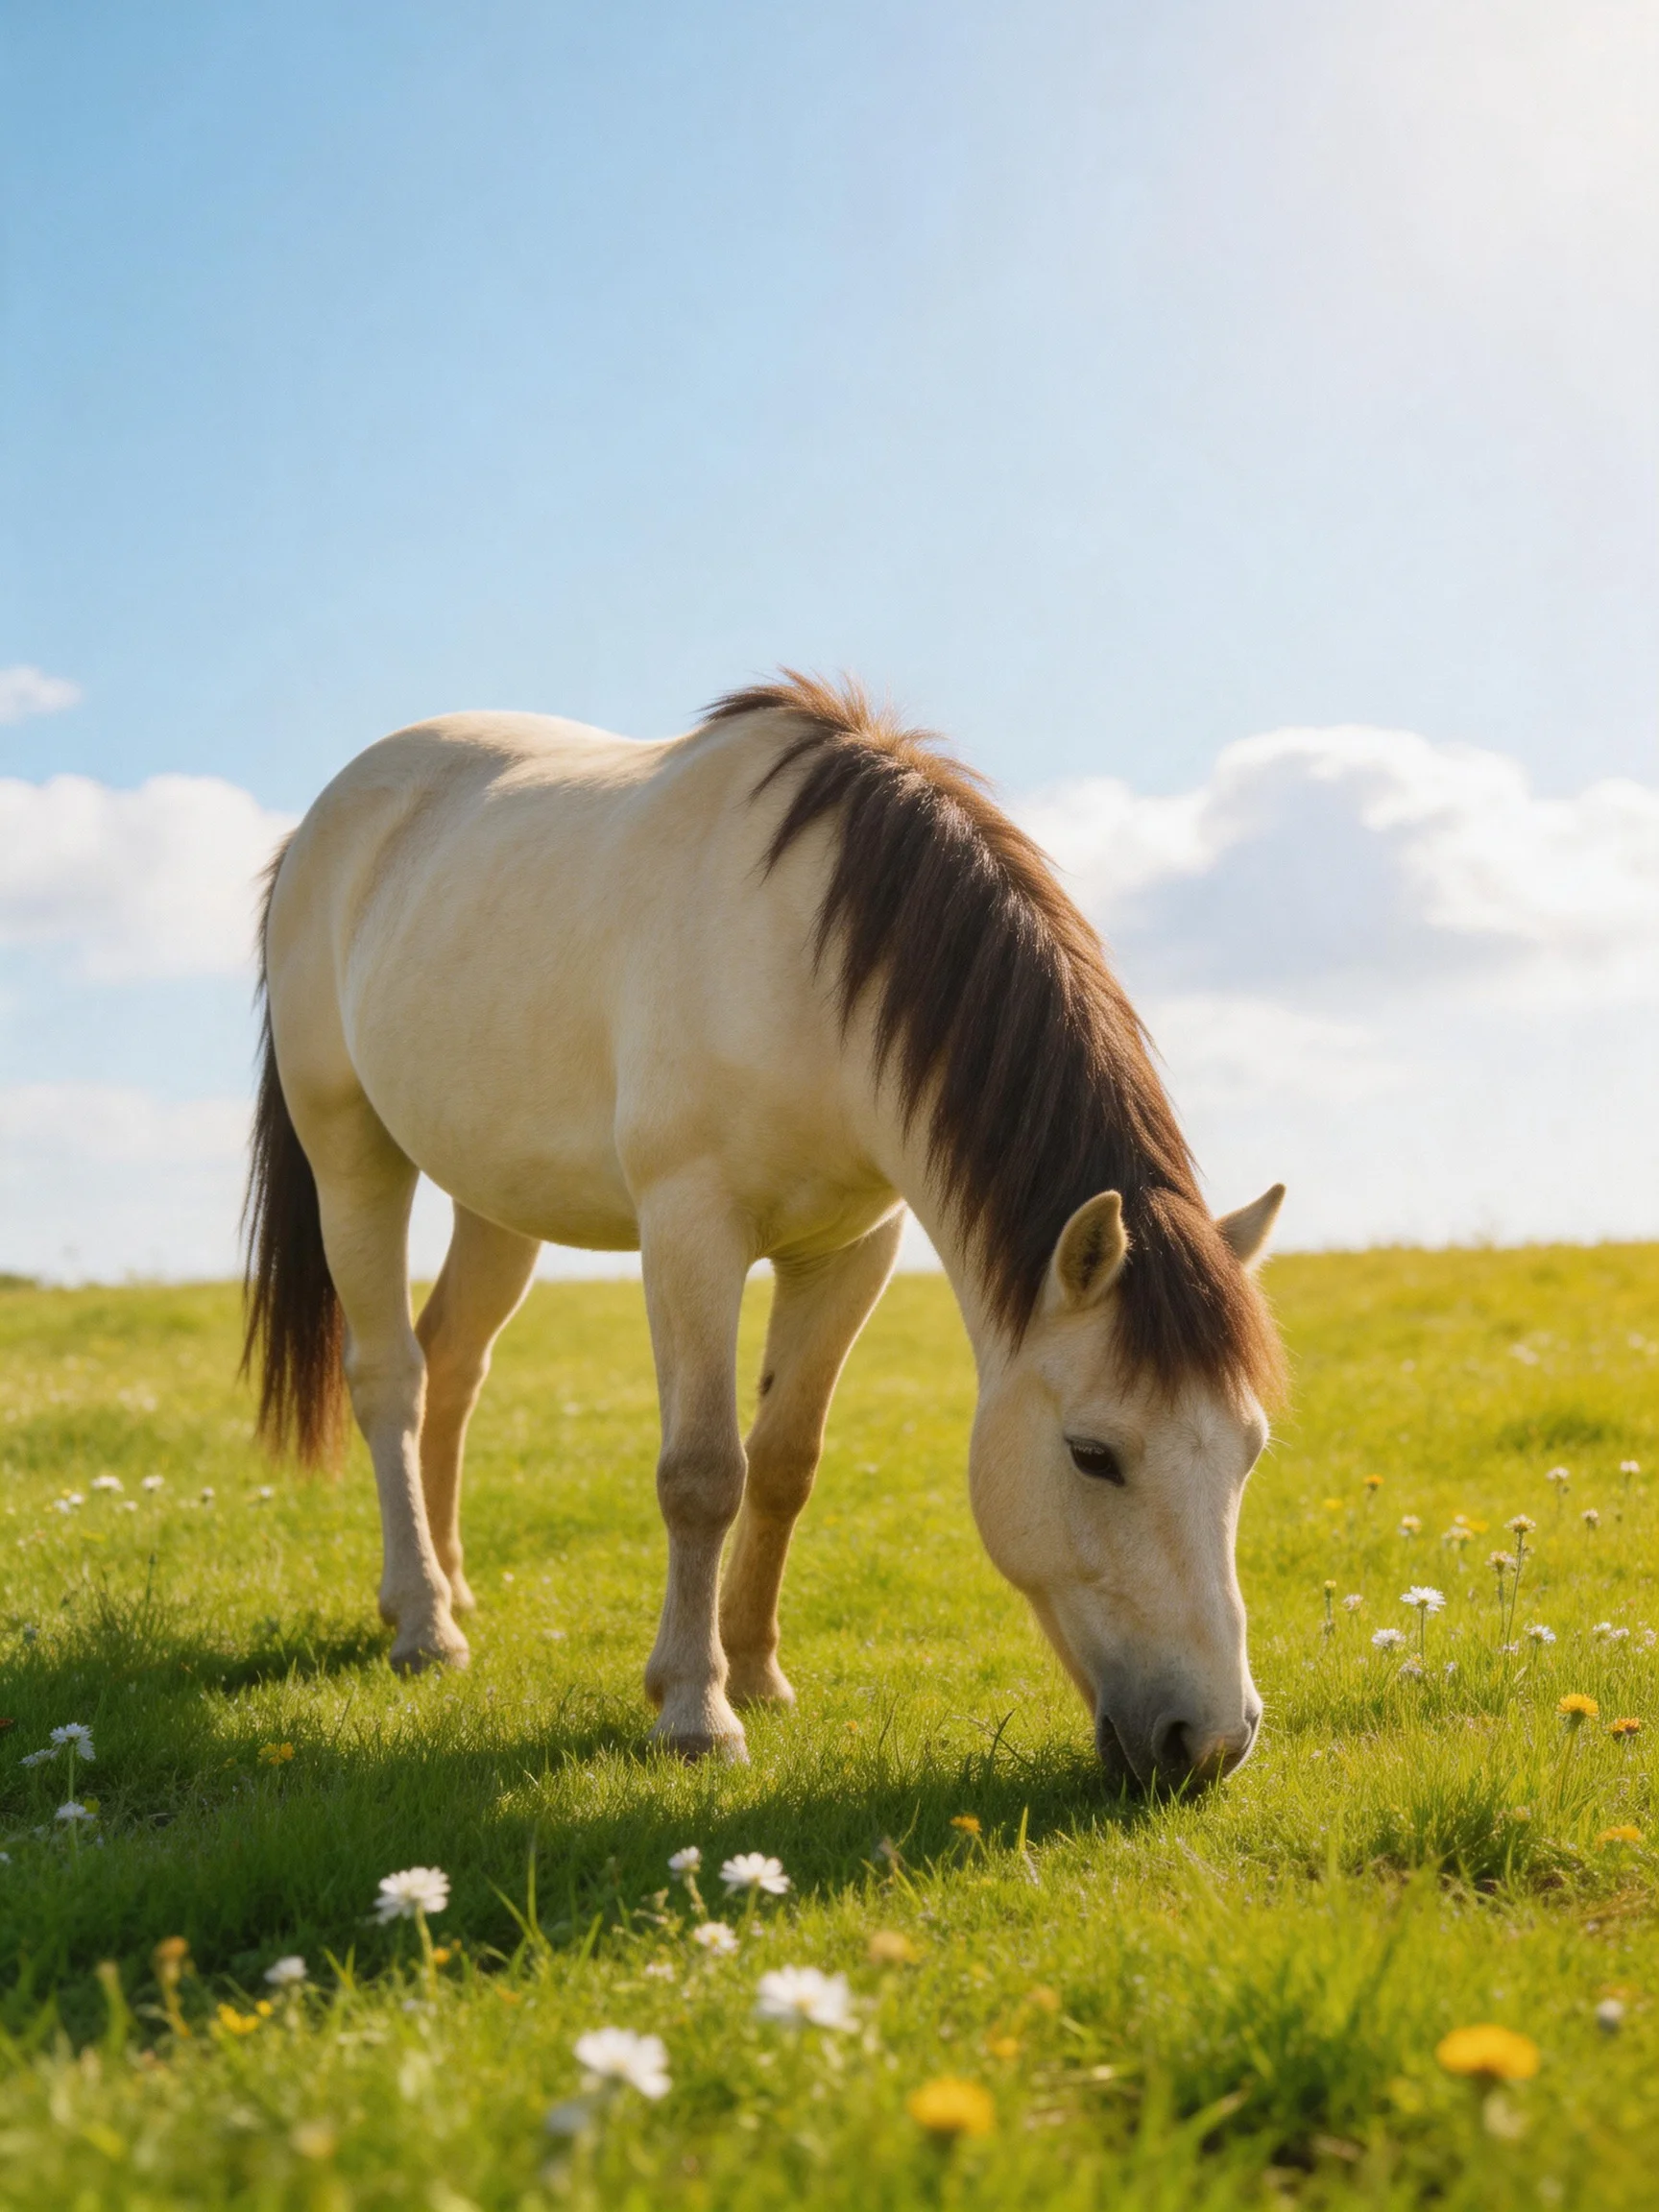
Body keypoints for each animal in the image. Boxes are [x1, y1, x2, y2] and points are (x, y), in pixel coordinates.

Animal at [243, 673, 1286, 1786]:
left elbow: (784, 1462)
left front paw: (752, 1673)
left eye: (1249, 1450)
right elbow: (704, 1474)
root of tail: (316, 828)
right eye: (1093, 1455)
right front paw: (695, 1712)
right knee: (390, 1377)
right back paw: (422, 1623)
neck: (806, 961)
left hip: (494, 1195)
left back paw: (452, 1584)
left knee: (453, 1362)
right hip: (352, 1154)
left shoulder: (851, 1252)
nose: (1209, 1742)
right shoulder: (690, 1228)